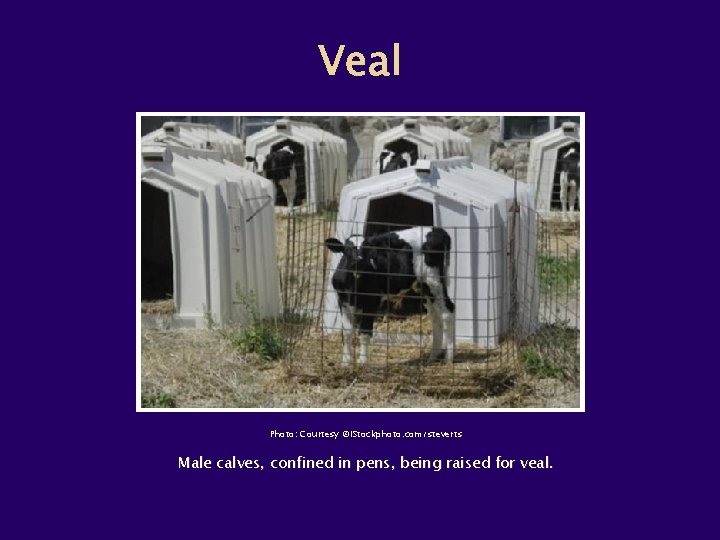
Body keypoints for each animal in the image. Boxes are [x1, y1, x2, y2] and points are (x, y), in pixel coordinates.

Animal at [326, 226, 456, 364]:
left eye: (367, 247)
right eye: (347, 249)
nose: (359, 261)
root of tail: (438, 230)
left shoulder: (371, 301)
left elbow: (364, 332)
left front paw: (363, 362)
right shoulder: (342, 300)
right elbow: (347, 332)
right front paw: (346, 362)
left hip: (434, 280)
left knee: (448, 311)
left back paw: (448, 358)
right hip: (424, 287)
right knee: (435, 316)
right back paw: (433, 356)